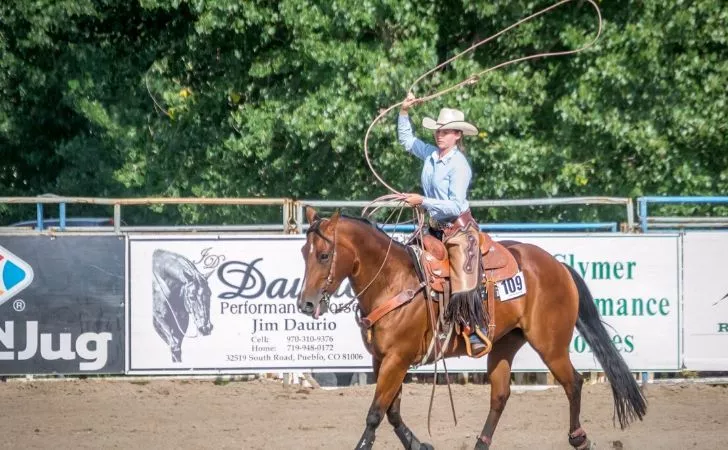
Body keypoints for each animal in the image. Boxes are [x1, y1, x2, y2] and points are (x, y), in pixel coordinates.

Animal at [298, 207, 648, 446]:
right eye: (304, 253)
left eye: (325, 255)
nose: (306, 304)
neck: (393, 281)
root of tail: (558, 265)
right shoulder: (382, 359)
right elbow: (392, 412)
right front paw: (421, 445)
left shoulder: (397, 359)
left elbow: (376, 413)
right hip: (505, 343)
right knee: (500, 394)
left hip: (550, 344)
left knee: (573, 382)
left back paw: (578, 438)